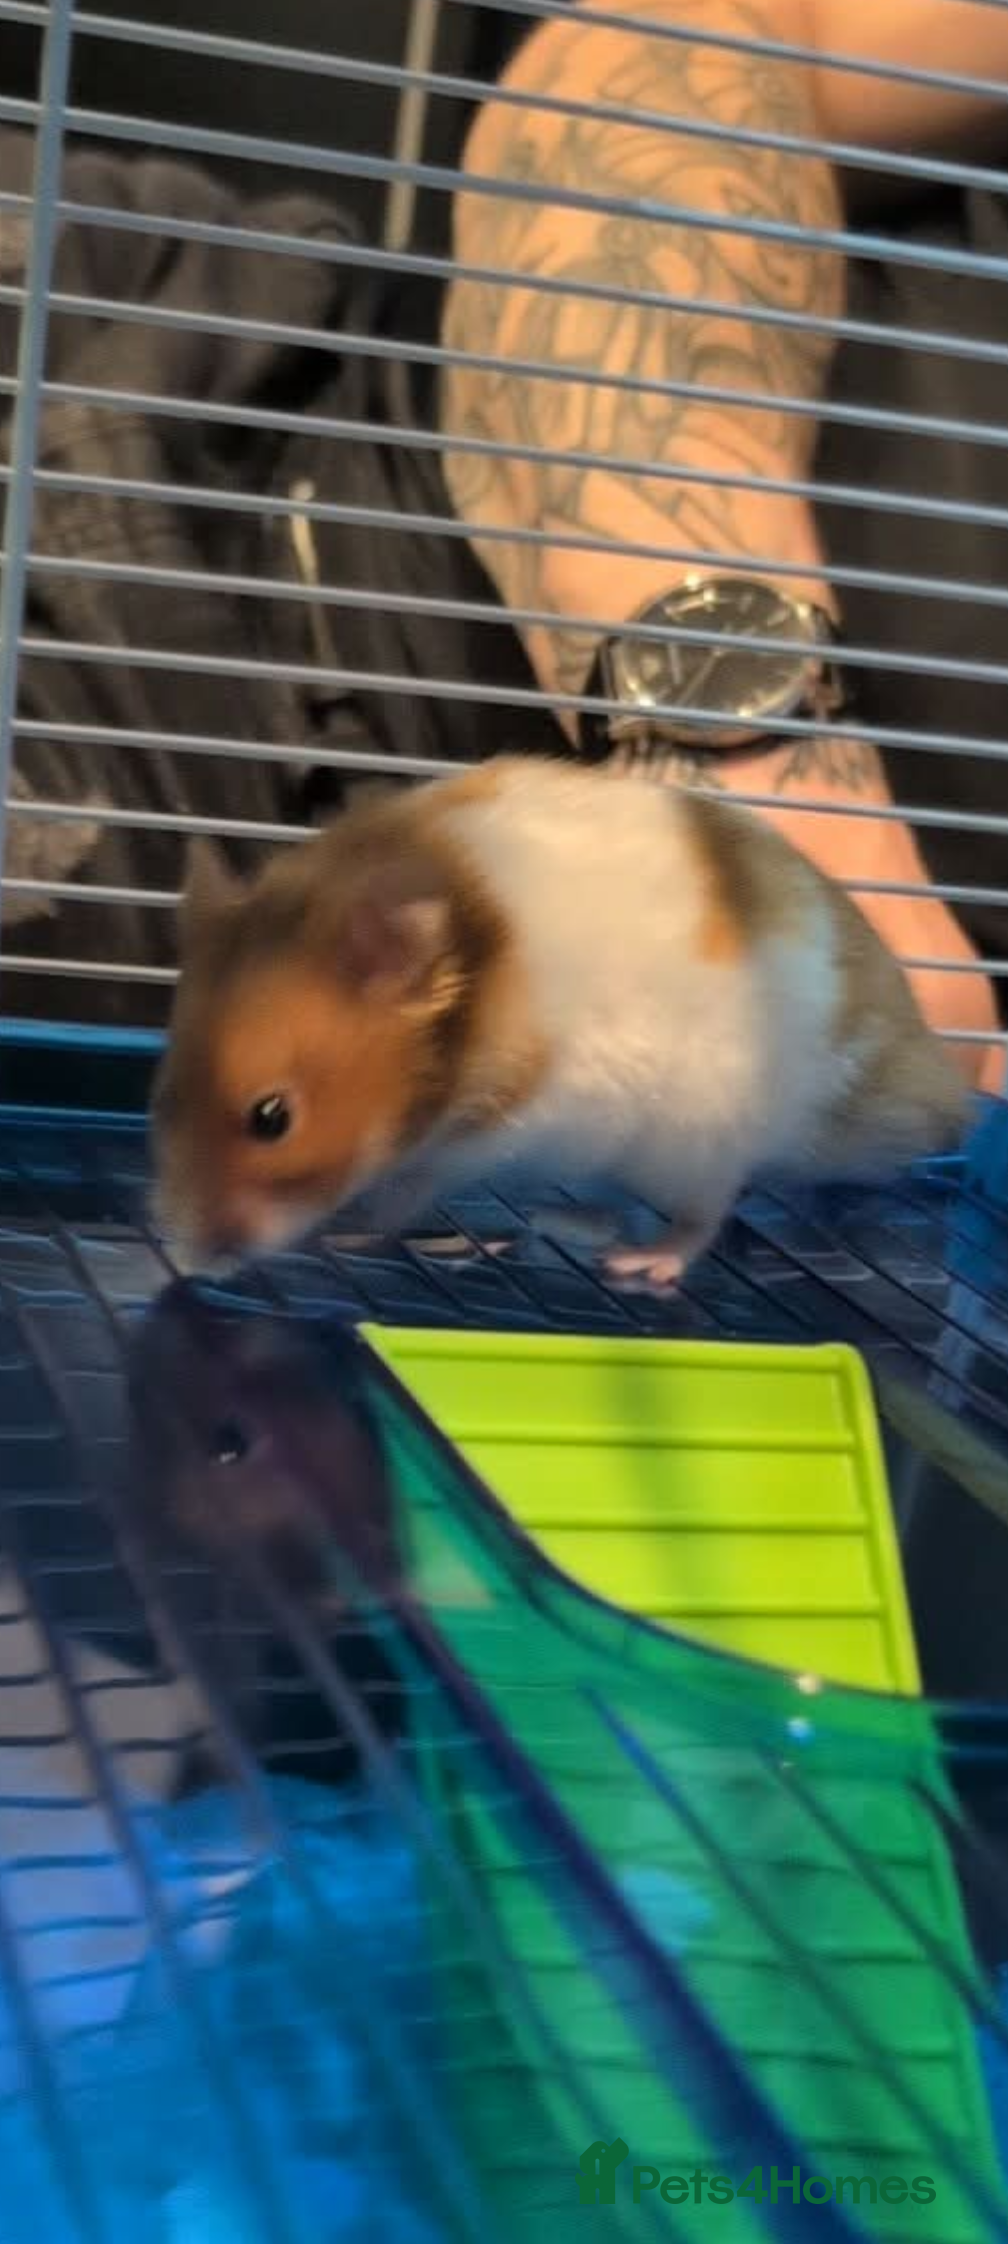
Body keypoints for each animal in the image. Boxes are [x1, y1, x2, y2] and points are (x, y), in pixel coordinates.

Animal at [151, 756, 969, 1288]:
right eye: (163, 1094)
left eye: (271, 1118)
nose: (188, 1265)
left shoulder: (474, 1141)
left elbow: (400, 1198)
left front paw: (346, 1232)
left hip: (698, 1139)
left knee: (704, 1217)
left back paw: (638, 1260)